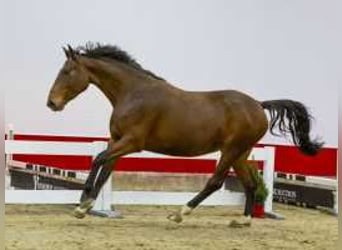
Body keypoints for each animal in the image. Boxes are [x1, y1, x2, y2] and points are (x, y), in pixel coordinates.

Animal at [46, 43, 322, 227]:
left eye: (67, 71)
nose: (52, 103)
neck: (133, 93)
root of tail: (258, 105)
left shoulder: (132, 142)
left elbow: (98, 159)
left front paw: (82, 202)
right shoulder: (117, 140)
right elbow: (105, 169)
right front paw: (85, 207)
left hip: (231, 150)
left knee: (215, 182)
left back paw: (180, 213)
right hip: (241, 153)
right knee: (250, 184)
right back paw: (243, 220)